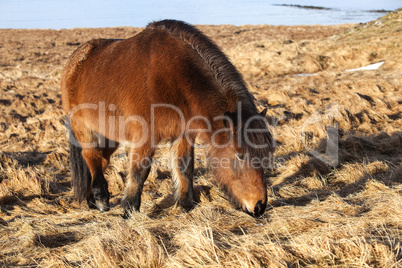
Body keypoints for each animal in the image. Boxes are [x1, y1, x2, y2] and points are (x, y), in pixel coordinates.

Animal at [61, 20, 274, 218]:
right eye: (240, 155)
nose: (259, 206)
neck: (176, 77)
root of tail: (75, 60)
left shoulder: (184, 134)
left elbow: (185, 167)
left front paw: (186, 204)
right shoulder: (145, 136)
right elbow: (139, 171)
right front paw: (129, 209)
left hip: (109, 134)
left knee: (100, 159)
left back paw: (91, 199)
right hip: (83, 128)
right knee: (91, 155)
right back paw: (100, 198)